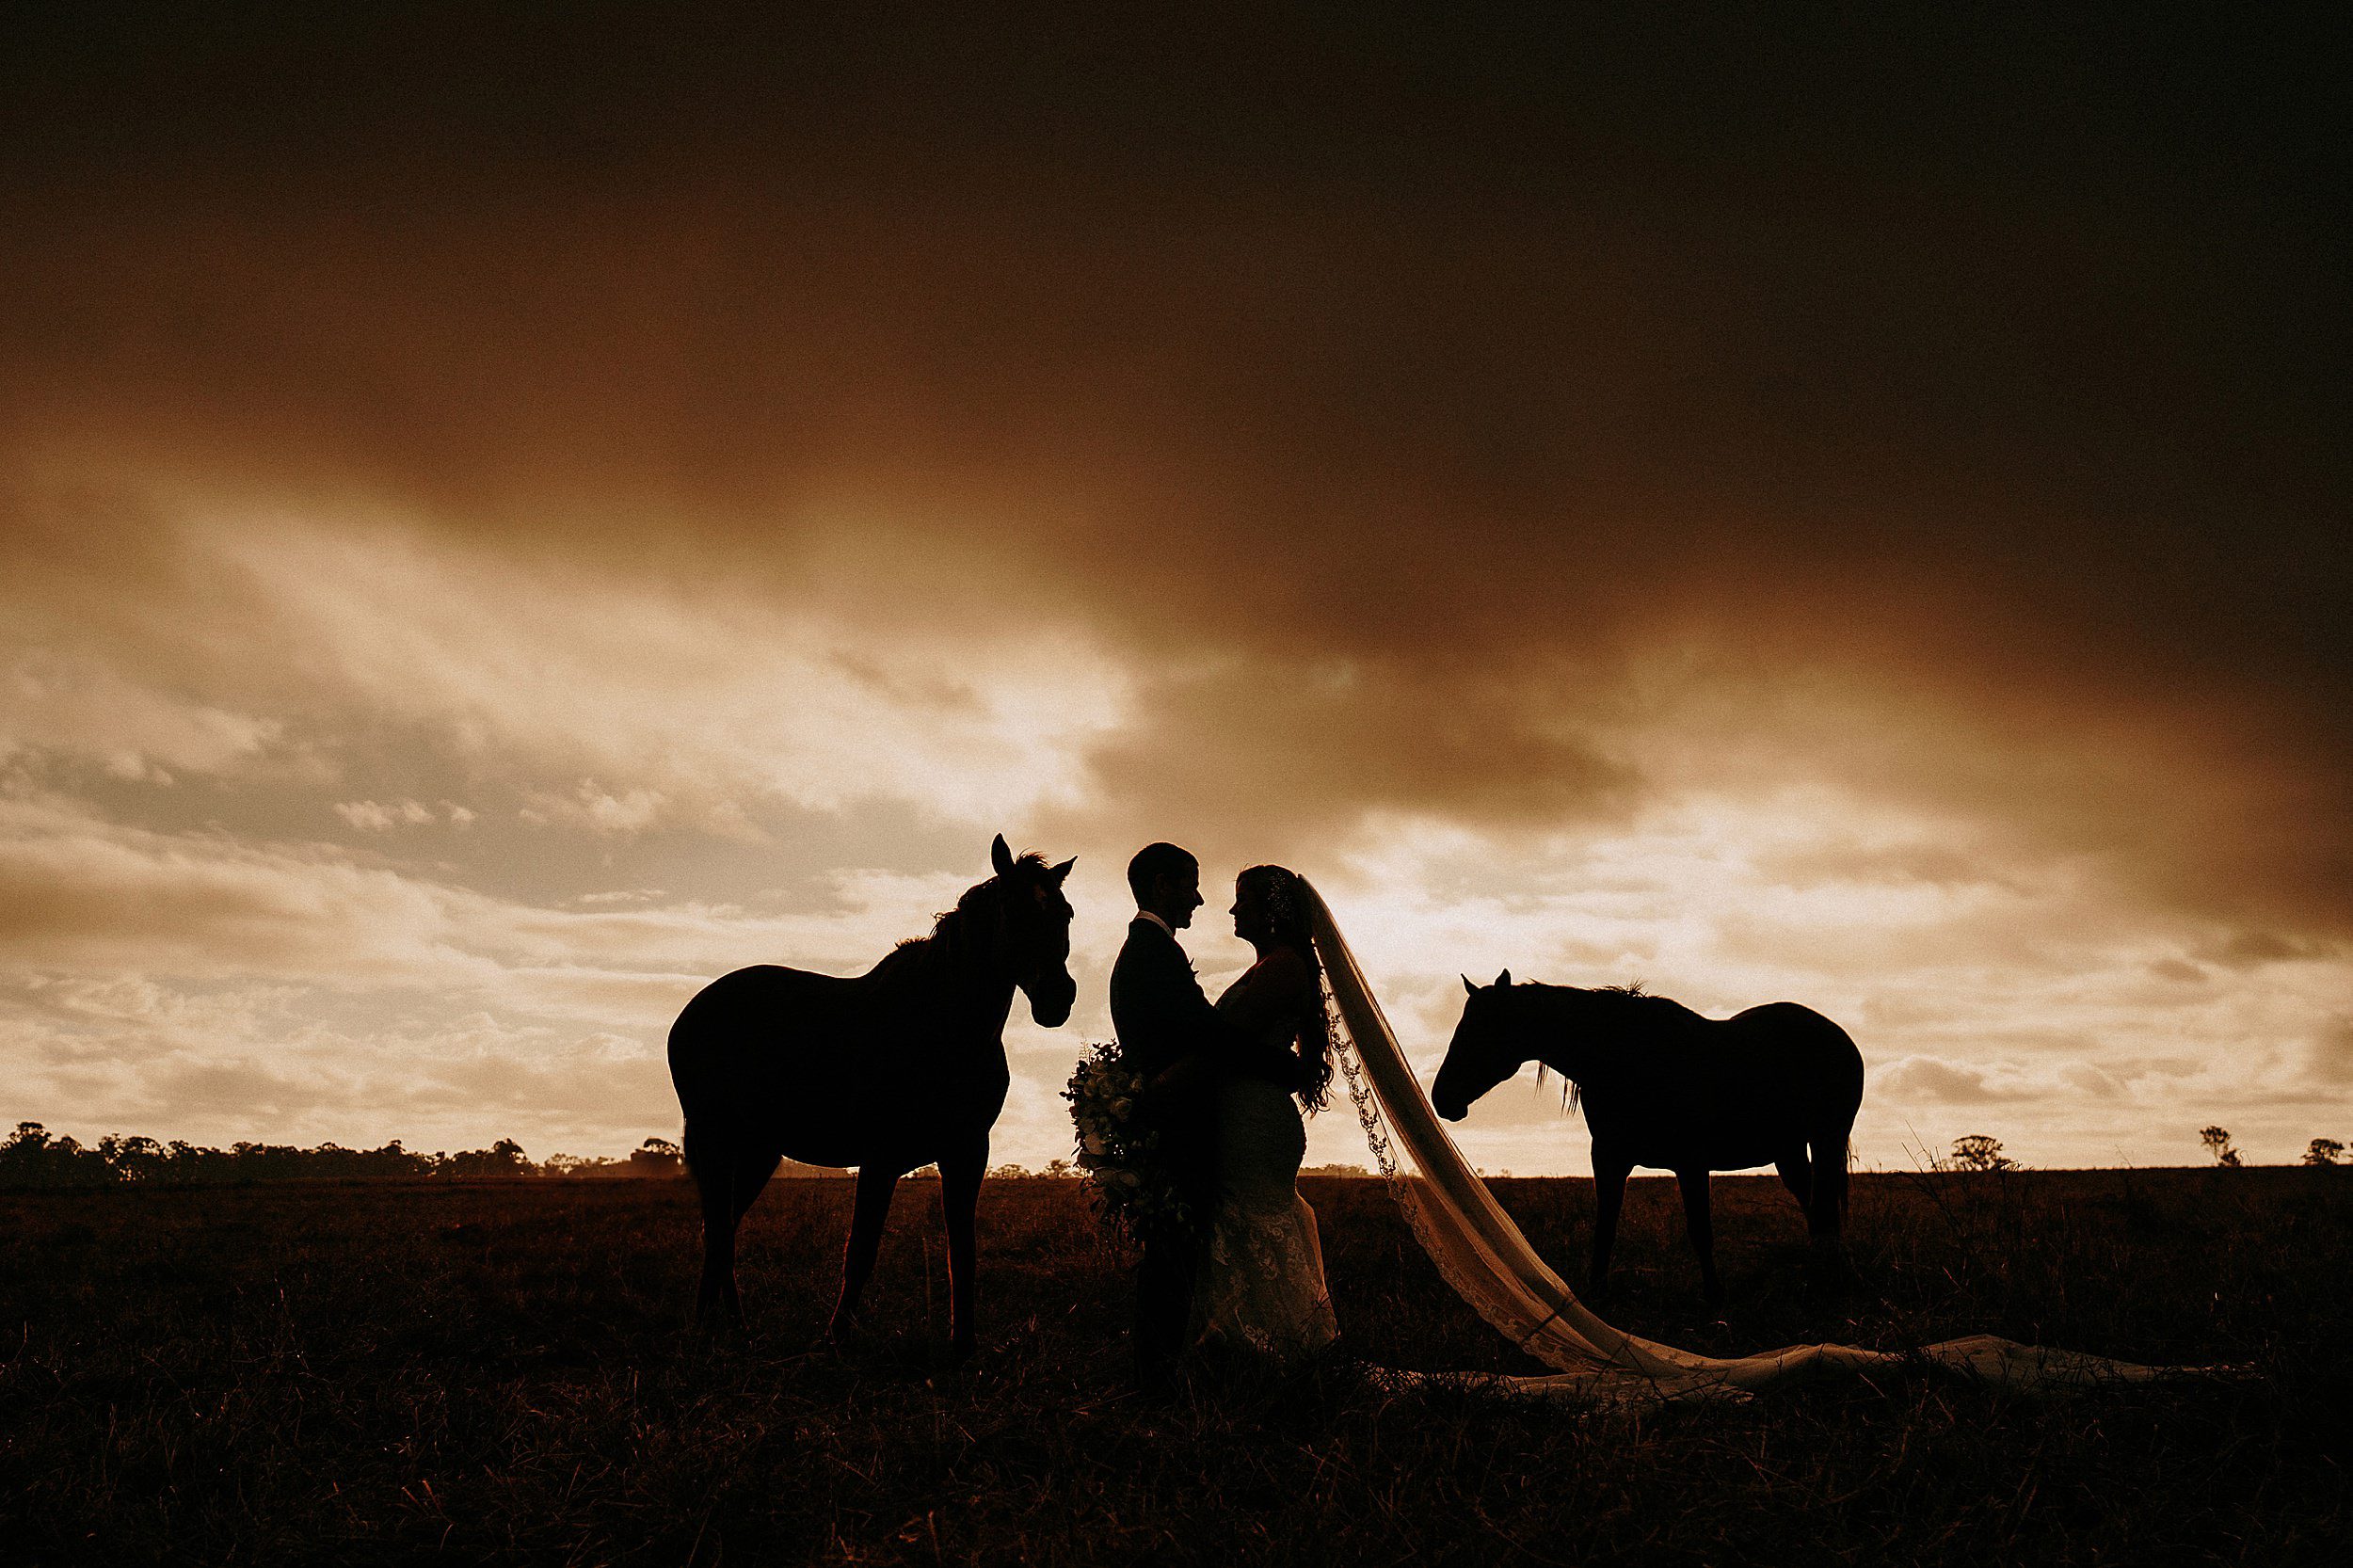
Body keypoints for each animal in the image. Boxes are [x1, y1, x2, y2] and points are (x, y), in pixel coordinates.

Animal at [667, 835, 1076, 1355]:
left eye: (1064, 913)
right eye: (1014, 909)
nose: (1058, 998)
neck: (940, 1025)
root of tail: (693, 1011)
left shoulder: (967, 1153)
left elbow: (961, 1250)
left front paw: (963, 1344)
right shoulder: (881, 1158)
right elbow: (861, 1250)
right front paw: (835, 1338)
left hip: (758, 1151)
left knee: (724, 1230)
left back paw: (734, 1326)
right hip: (718, 1141)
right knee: (719, 1230)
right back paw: (707, 1327)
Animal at [1431, 971, 1863, 1303]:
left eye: (1481, 1031)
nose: (1442, 1098)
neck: (1628, 1060)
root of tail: (1837, 1035)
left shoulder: (1691, 1164)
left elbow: (1700, 1230)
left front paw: (1714, 1297)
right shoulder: (1609, 1159)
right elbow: (1605, 1227)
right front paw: (1596, 1298)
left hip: (1825, 1140)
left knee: (1823, 1207)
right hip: (1788, 1151)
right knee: (1814, 1207)